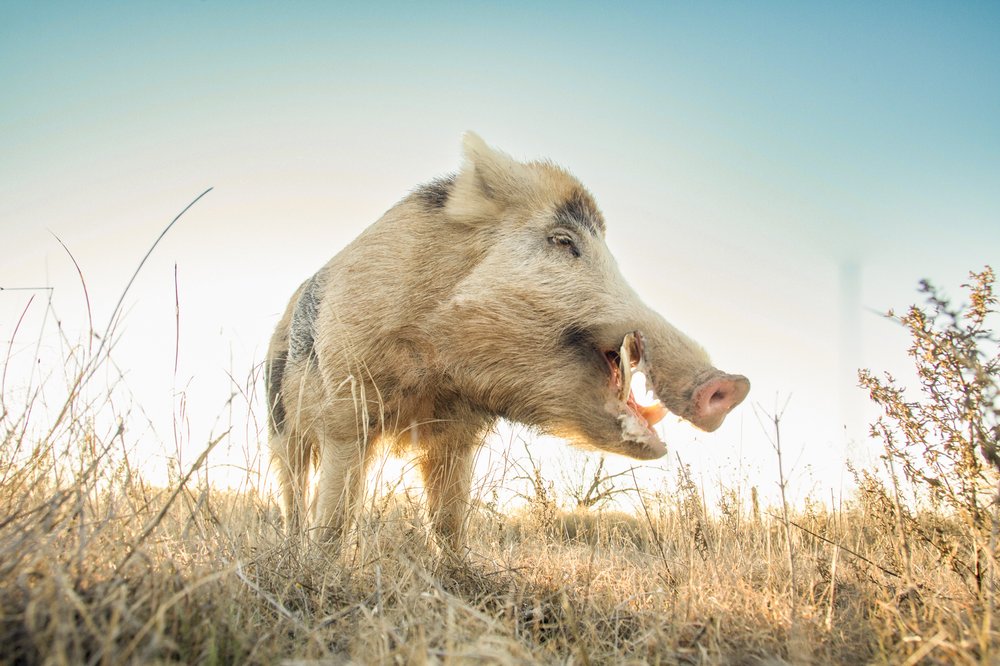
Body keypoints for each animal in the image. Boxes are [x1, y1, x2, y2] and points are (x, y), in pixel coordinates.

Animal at [265, 133, 749, 547]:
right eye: (562, 241)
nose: (733, 384)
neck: (437, 376)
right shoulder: (346, 409)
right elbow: (335, 516)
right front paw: (321, 568)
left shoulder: (457, 435)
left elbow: (449, 520)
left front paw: (457, 576)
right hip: (279, 421)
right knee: (294, 489)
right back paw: (292, 545)